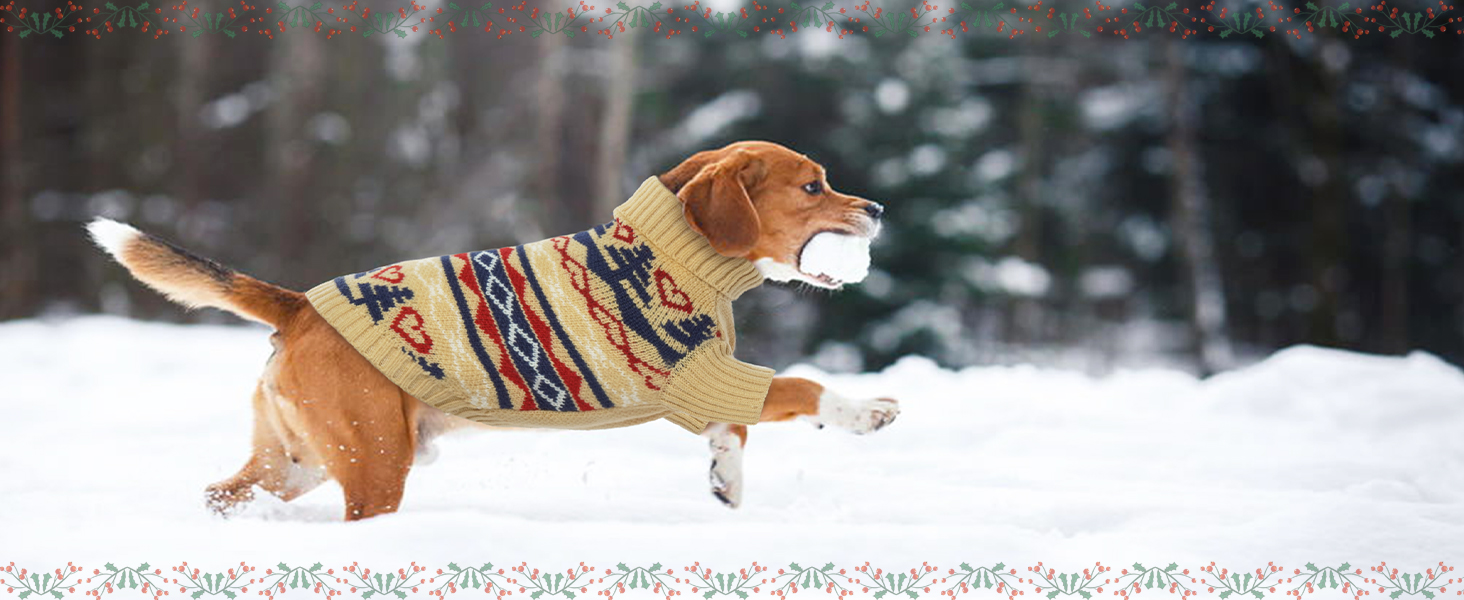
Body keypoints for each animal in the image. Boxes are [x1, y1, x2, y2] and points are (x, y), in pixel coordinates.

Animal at [91, 140, 895, 520]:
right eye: (814, 185)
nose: (878, 209)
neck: (683, 253)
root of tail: (301, 305)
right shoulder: (704, 378)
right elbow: (803, 386)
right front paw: (866, 411)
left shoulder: (712, 392)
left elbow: (735, 435)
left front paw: (726, 479)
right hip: (372, 461)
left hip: (296, 461)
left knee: (221, 494)